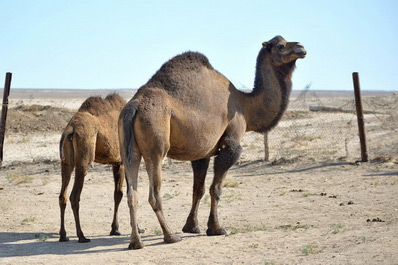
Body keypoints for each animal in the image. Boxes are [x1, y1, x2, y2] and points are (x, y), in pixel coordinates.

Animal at [57, 94, 125, 242]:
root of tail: (71, 128)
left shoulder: (116, 162)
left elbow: (118, 194)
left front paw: (115, 229)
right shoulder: (122, 162)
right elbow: (122, 193)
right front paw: (120, 229)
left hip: (66, 161)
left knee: (62, 196)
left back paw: (63, 235)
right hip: (84, 156)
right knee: (74, 196)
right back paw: (81, 236)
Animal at [119, 36, 306, 249]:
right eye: (281, 45)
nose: (301, 47)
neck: (245, 105)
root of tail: (134, 106)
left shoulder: (202, 152)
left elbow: (198, 189)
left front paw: (192, 226)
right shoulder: (231, 145)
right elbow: (215, 189)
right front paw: (216, 228)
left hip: (129, 150)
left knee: (132, 193)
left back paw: (136, 241)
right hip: (155, 145)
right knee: (154, 193)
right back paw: (170, 236)